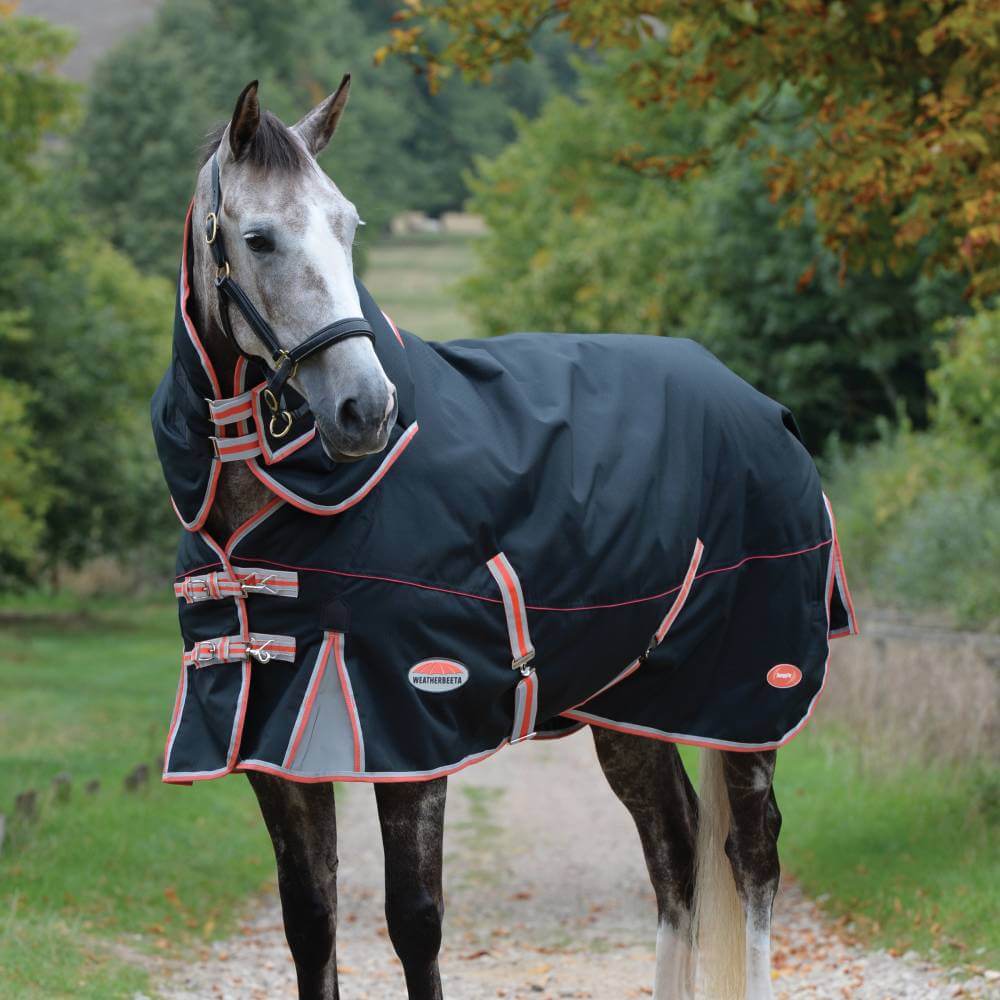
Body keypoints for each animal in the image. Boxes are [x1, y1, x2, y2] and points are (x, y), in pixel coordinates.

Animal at [163, 77, 855, 1000]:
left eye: (348, 224)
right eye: (259, 237)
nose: (364, 409)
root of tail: (768, 410)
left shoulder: (408, 725)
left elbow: (414, 922)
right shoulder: (273, 733)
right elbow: (309, 924)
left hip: (747, 699)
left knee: (752, 857)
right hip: (633, 706)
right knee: (674, 852)